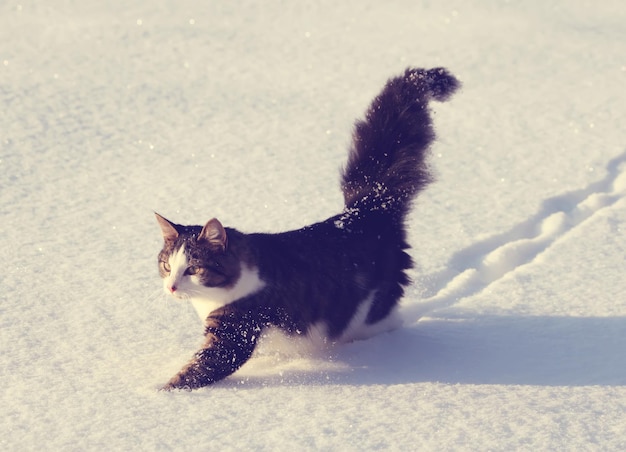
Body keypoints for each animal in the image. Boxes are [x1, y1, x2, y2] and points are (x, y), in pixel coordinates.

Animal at [156, 67, 458, 388]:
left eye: (193, 269)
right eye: (167, 266)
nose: (171, 286)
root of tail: (364, 210)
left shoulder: (236, 329)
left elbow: (198, 370)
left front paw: (159, 392)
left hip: (369, 308)